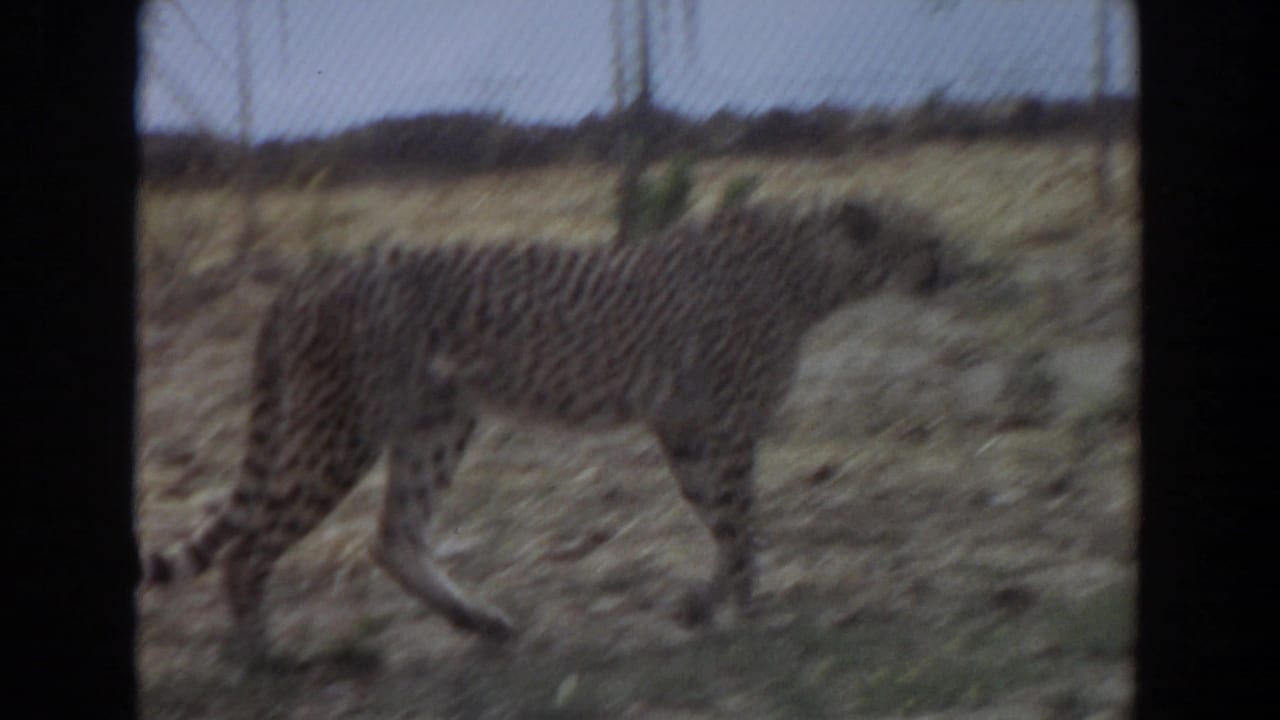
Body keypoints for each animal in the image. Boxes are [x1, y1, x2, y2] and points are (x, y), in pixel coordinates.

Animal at [139, 197, 946, 663]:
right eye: (925, 240)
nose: (952, 269)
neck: (813, 268)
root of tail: (313, 274)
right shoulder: (722, 425)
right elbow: (740, 520)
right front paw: (750, 609)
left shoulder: (685, 425)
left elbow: (722, 520)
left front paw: (710, 603)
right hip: (342, 428)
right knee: (250, 546)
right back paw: (259, 654)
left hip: (438, 421)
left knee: (393, 535)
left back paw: (479, 622)